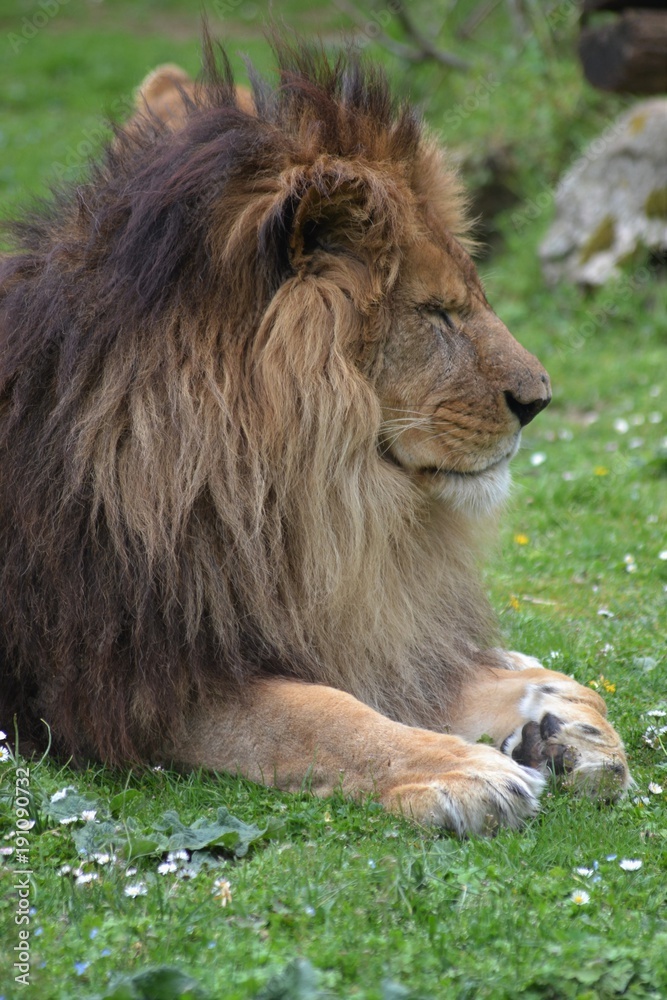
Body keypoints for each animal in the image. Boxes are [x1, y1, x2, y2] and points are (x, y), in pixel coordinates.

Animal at [0, 37, 629, 836]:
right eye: (435, 312)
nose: (539, 400)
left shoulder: (327, 614)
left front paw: (564, 724)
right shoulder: (120, 681)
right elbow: (318, 714)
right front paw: (459, 770)